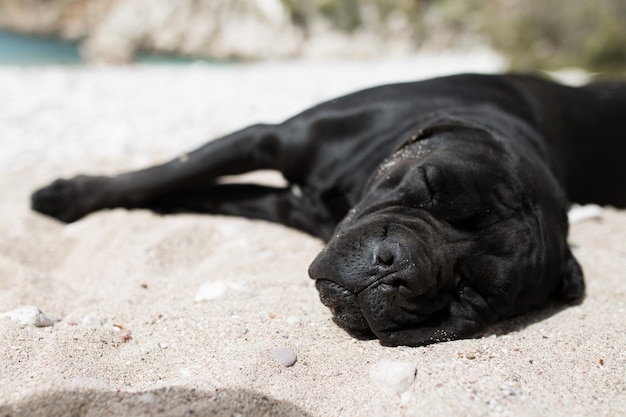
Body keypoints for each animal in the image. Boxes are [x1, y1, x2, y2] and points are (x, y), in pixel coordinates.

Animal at [30, 74, 624, 344]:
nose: (397, 267)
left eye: (472, 291)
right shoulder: (271, 139)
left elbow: (199, 187)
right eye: (429, 186)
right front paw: (71, 197)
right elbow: (171, 173)